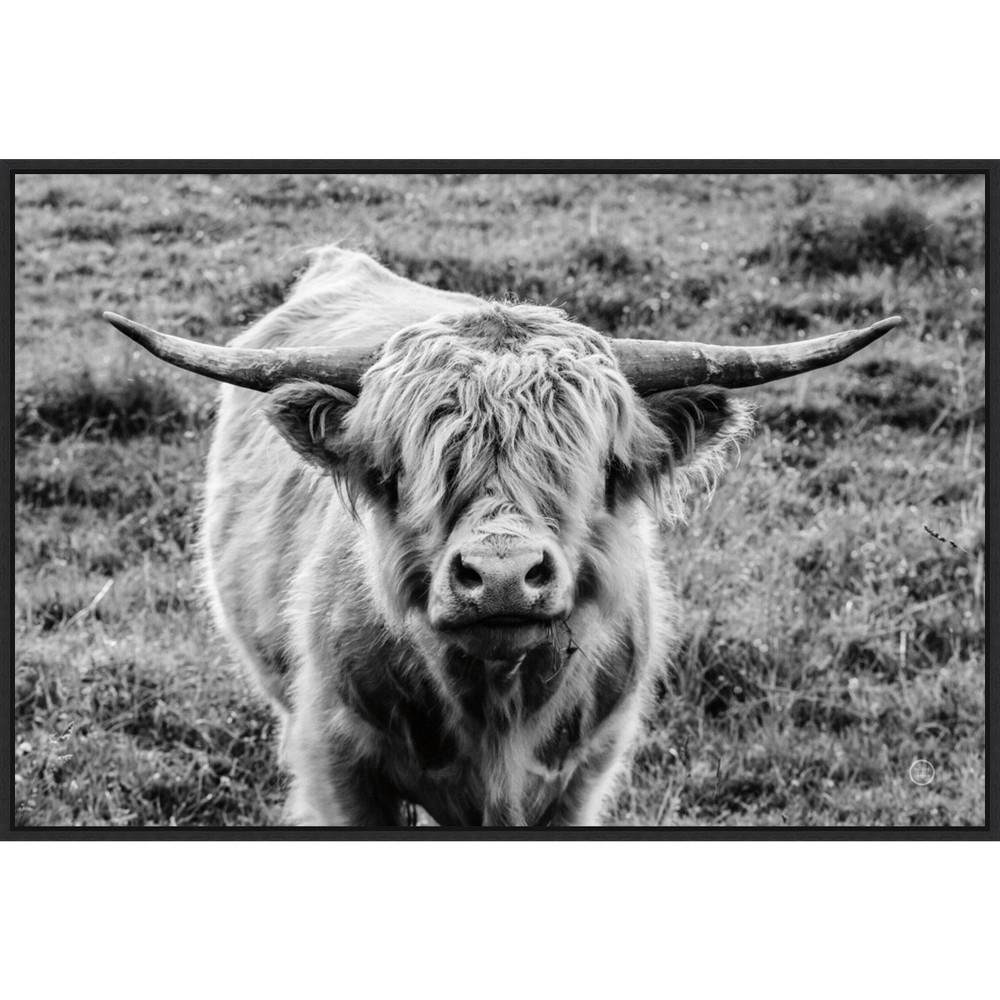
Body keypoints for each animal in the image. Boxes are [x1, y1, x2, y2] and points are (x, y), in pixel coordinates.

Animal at [104, 245, 900, 826]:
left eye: (597, 465)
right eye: (405, 467)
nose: (502, 576)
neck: (496, 709)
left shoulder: (584, 774)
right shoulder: (337, 762)